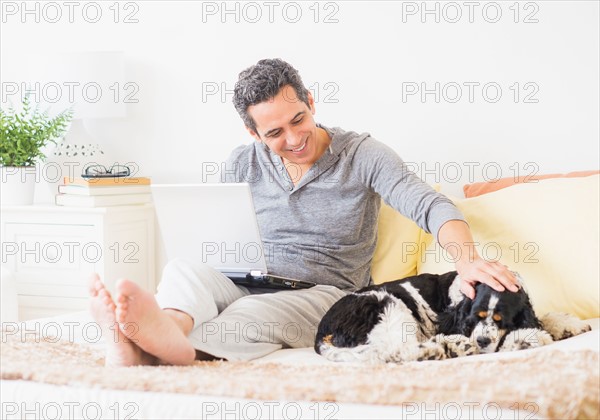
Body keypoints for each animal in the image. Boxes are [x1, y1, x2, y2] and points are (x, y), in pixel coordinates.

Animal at [314, 270, 592, 362]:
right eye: (477, 316)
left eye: (500, 320)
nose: (481, 340)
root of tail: (322, 331)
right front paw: (525, 338)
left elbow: (545, 318)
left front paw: (570, 325)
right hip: (388, 304)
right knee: (392, 351)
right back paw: (438, 350)